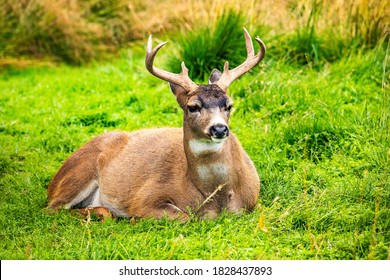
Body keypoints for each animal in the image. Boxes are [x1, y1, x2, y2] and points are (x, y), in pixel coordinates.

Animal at [45, 28, 266, 221]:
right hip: (78, 174)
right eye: (192, 107)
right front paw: (133, 219)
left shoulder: (254, 201)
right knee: (53, 208)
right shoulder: (144, 197)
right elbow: (184, 217)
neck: (217, 197)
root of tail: (53, 182)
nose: (219, 128)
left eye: (229, 105)